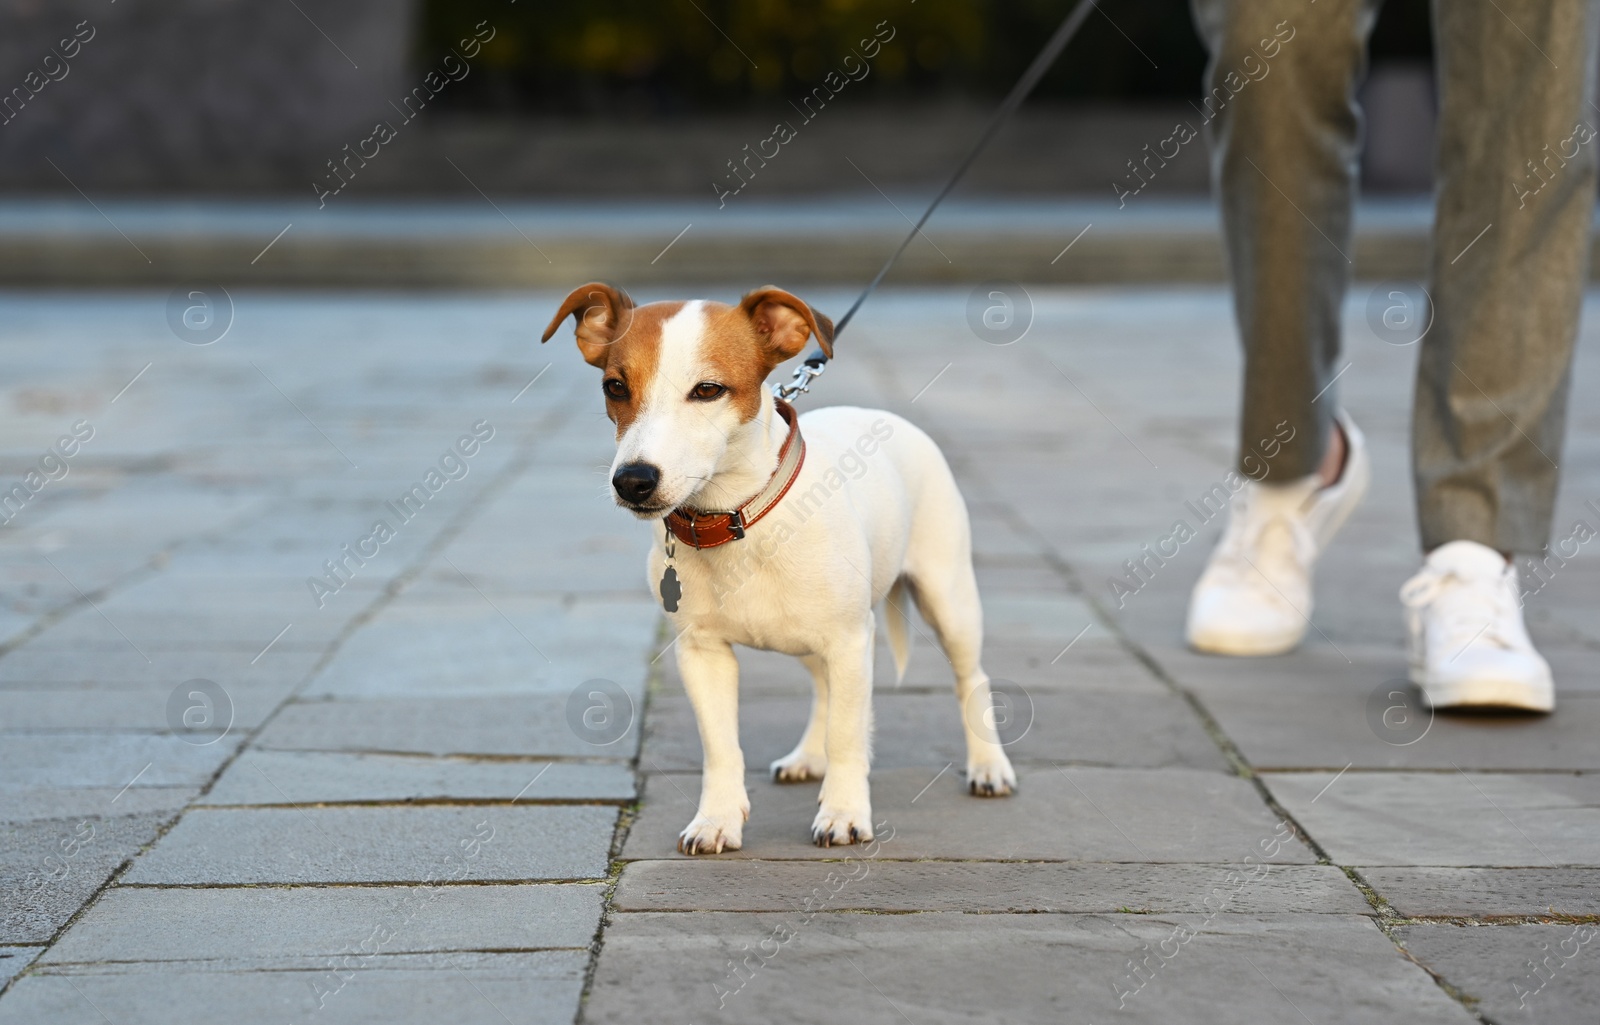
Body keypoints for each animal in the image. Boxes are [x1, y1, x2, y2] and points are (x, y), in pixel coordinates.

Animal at [537, 284, 1011, 850]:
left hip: (948, 599)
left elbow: (847, 736)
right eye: (614, 386)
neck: (738, 519)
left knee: (970, 677)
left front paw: (844, 813)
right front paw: (717, 819)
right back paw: (808, 756)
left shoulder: (851, 641)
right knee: (824, 688)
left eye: (708, 390)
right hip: (814, 641)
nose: (633, 480)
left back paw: (989, 766)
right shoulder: (703, 654)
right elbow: (721, 747)